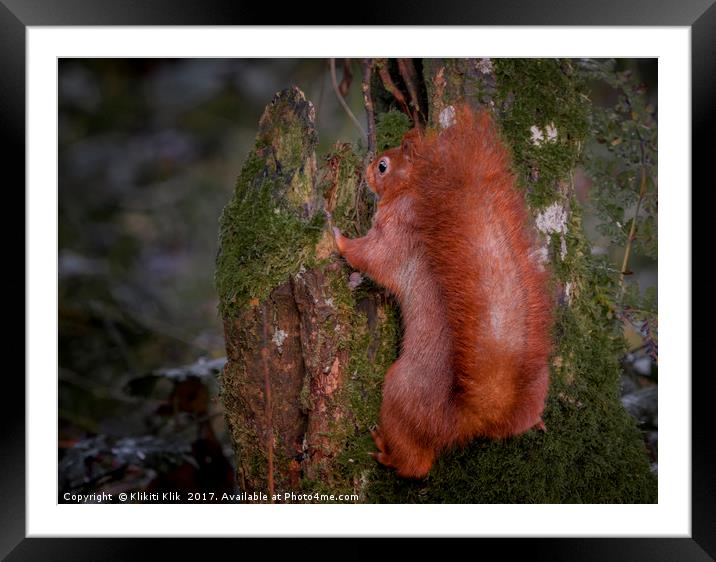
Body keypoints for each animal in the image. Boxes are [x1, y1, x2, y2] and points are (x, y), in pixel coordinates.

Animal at [332, 103, 552, 474]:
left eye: (384, 166)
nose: (367, 168)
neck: (413, 191)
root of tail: (467, 418)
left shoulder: (398, 234)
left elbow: (371, 257)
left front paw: (336, 237)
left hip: (400, 391)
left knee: (417, 464)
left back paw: (387, 452)